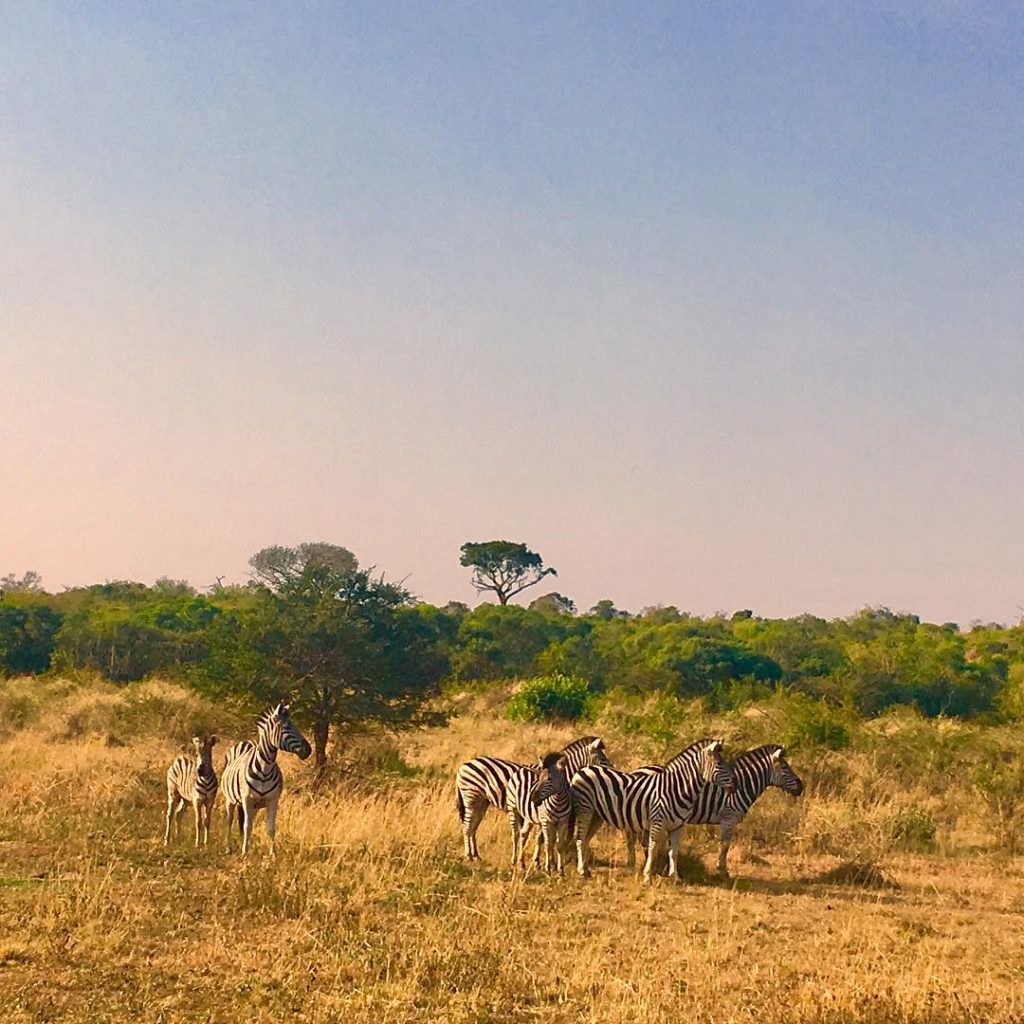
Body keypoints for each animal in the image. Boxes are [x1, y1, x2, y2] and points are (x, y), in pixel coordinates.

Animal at [221, 702, 312, 856]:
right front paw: (244, 853)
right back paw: (229, 847)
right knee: (229, 821)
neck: (265, 768)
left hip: (255, 806)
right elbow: (247, 826)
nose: (309, 750)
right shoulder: (247, 799)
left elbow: (270, 828)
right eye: (286, 727)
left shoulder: (272, 800)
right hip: (231, 799)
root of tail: (245, 742)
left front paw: (272, 854)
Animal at [455, 736, 610, 861]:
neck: (563, 773)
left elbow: (543, 837)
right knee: (467, 826)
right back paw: (468, 855)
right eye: (603, 759)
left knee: (473, 826)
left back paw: (476, 855)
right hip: (471, 797)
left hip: (481, 802)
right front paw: (539, 861)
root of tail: (463, 765)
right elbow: (543, 838)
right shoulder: (542, 811)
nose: (612, 770)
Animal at [643, 738, 734, 883]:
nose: (735, 785)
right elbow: (653, 848)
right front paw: (647, 876)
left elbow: (673, 851)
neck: (673, 788)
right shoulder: (657, 821)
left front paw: (674, 877)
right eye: (719, 764)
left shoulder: (677, 825)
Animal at [682, 744, 804, 876]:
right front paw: (722, 870)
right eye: (785, 768)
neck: (742, 786)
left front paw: (721, 868)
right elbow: (725, 845)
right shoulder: (729, 818)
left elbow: (724, 845)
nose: (801, 787)